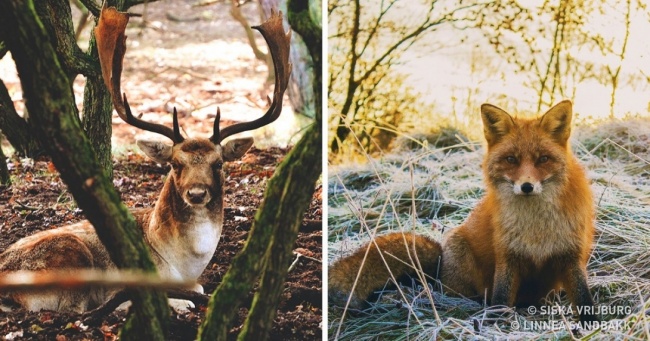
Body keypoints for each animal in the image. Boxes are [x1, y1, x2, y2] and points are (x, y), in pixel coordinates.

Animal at [0, 7, 288, 314]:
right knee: (80, 308)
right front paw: (179, 301)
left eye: (218, 163)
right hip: (69, 255)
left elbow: (198, 288)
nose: (197, 193)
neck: (182, 266)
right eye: (175, 164)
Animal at [330, 99, 596, 322]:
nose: (527, 186)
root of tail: (439, 269)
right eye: (511, 159)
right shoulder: (507, 256)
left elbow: (584, 297)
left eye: (543, 159)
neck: (537, 228)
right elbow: (501, 298)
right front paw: (496, 323)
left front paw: (589, 325)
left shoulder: (571, 255)